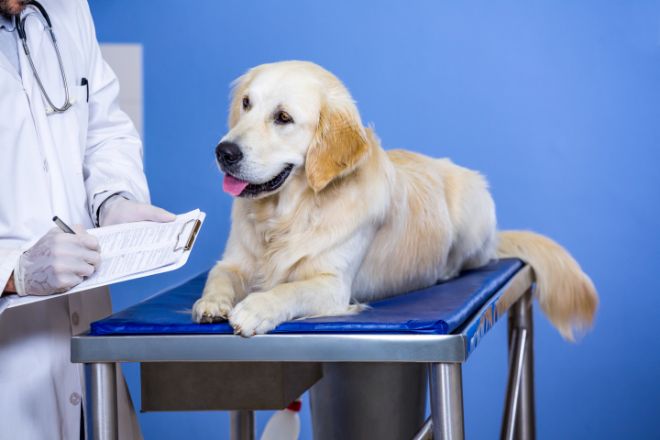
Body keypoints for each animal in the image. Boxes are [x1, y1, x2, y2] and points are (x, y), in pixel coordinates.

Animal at [192, 60, 600, 338]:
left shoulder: (333, 287)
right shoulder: (234, 262)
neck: (286, 216)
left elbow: (289, 289)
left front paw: (256, 308)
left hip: (472, 205)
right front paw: (211, 303)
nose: (223, 151)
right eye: (246, 104)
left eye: (283, 117)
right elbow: (218, 276)